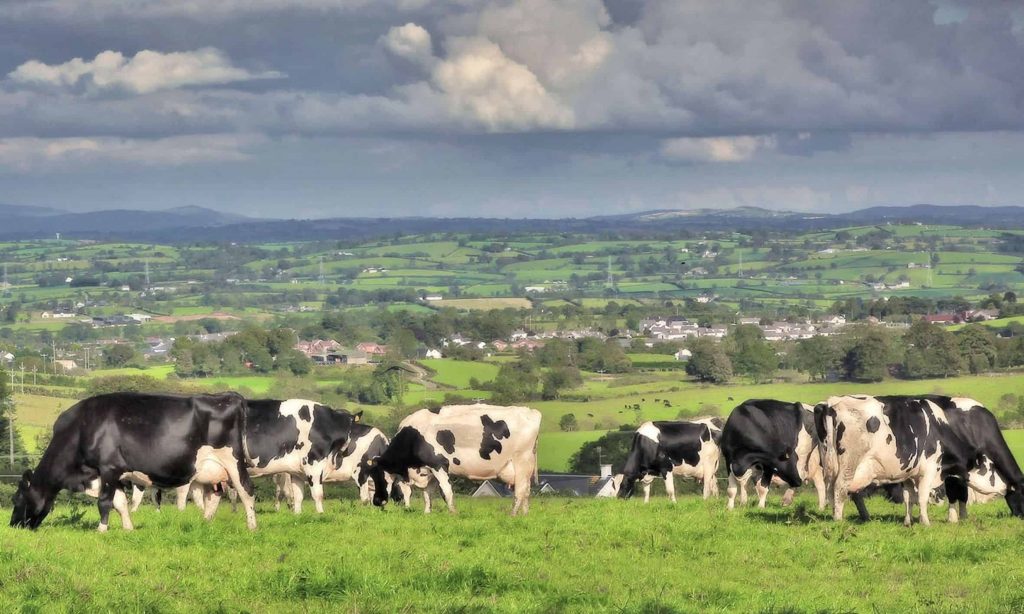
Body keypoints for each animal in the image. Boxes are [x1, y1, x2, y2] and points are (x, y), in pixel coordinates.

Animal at [10, 392, 258, 532]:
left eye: (17, 499)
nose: (13, 526)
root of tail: (229, 396)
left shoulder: (108, 468)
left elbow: (104, 502)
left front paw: (101, 530)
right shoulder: (114, 473)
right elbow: (120, 503)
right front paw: (128, 529)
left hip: (234, 462)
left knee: (247, 492)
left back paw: (252, 527)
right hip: (213, 470)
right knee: (215, 496)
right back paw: (205, 524)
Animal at [368, 403, 544, 513]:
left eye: (377, 478)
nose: (376, 501)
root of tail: (531, 412)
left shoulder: (439, 464)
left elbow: (446, 492)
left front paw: (453, 513)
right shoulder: (429, 470)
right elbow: (427, 494)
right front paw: (427, 513)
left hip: (521, 462)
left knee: (520, 492)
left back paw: (512, 515)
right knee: (526, 492)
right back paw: (524, 515)